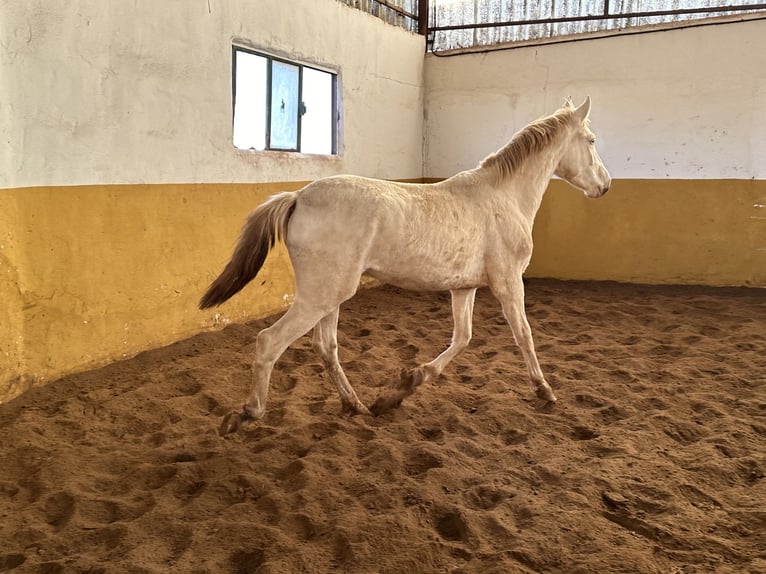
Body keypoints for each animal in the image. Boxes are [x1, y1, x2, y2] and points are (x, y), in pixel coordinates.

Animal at [202, 97, 612, 436]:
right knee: (269, 341)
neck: (503, 198)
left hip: (331, 295)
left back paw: (358, 406)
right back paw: (247, 415)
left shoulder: (464, 287)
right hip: (321, 295)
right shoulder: (509, 282)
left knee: (326, 347)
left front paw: (405, 386)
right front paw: (545, 390)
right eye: (591, 140)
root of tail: (298, 196)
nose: (605, 186)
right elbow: (524, 335)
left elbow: (463, 338)